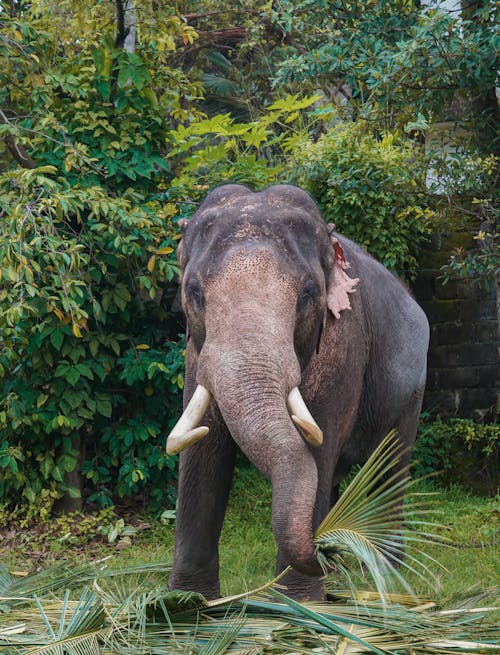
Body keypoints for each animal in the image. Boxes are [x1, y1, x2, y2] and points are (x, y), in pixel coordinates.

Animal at [165, 183, 430, 600]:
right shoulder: (195, 354)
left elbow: (317, 444)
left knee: (390, 463)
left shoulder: (342, 343)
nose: (322, 550)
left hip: (412, 387)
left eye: (307, 294)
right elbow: (202, 447)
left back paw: (383, 569)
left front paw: (297, 603)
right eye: (193, 292)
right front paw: (187, 602)